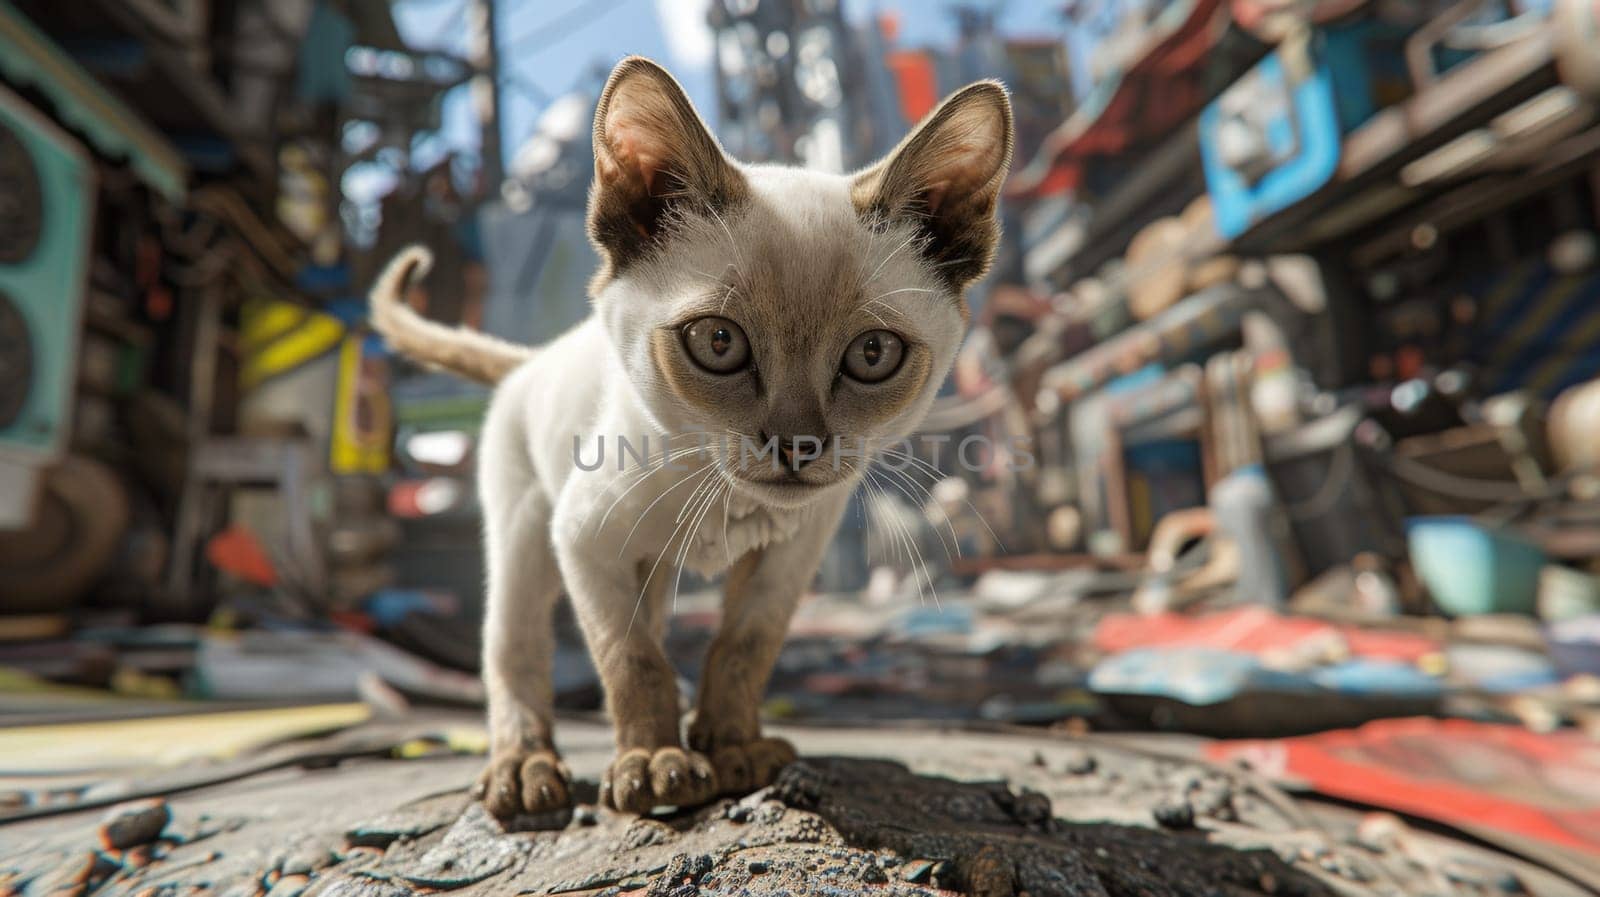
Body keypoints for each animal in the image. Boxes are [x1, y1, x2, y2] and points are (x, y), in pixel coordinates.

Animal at [368, 52, 1004, 815]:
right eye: (718, 342)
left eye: (873, 354)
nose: (798, 445)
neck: (727, 501)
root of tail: (533, 357)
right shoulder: (585, 543)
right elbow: (631, 660)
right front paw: (652, 764)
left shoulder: (791, 554)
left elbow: (741, 648)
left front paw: (730, 749)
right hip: (525, 532)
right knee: (512, 649)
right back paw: (525, 769)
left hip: (648, 569)